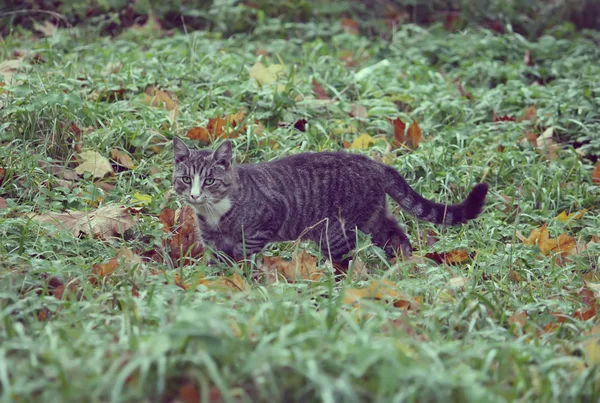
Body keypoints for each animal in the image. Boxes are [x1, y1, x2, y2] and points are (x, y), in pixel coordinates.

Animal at [172, 139, 488, 268]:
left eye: (209, 181)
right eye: (186, 179)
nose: (195, 195)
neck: (214, 212)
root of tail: (374, 164)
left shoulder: (267, 220)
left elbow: (243, 254)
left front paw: (242, 276)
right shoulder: (213, 242)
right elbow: (217, 264)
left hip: (336, 231)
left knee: (344, 262)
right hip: (374, 217)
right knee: (398, 235)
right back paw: (404, 267)